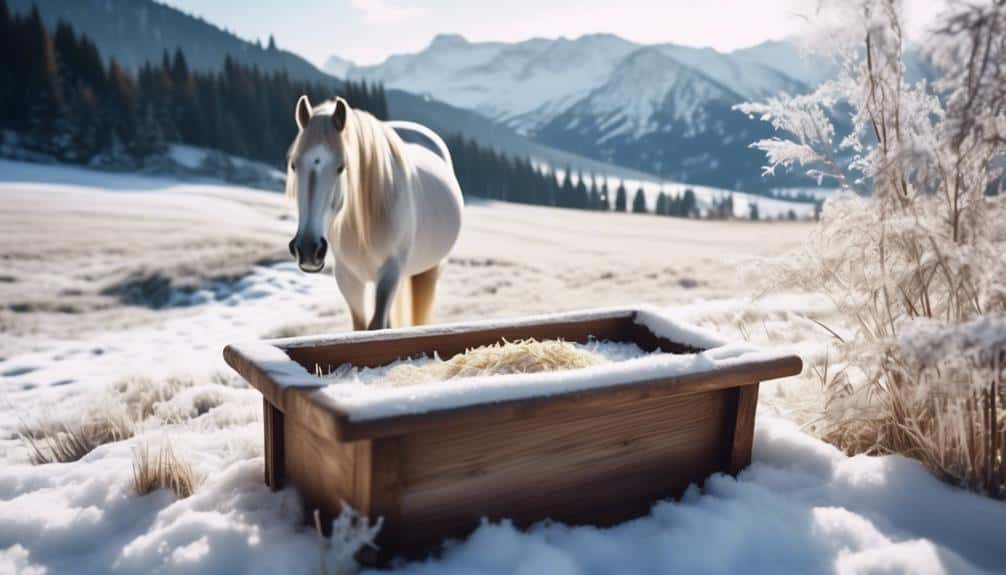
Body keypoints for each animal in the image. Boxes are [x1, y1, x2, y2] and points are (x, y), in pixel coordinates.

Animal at [285, 95, 463, 331]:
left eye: (341, 167)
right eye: (294, 165)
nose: (308, 249)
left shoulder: (389, 275)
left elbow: (377, 325)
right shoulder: (348, 279)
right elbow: (362, 327)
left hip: (429, 271)